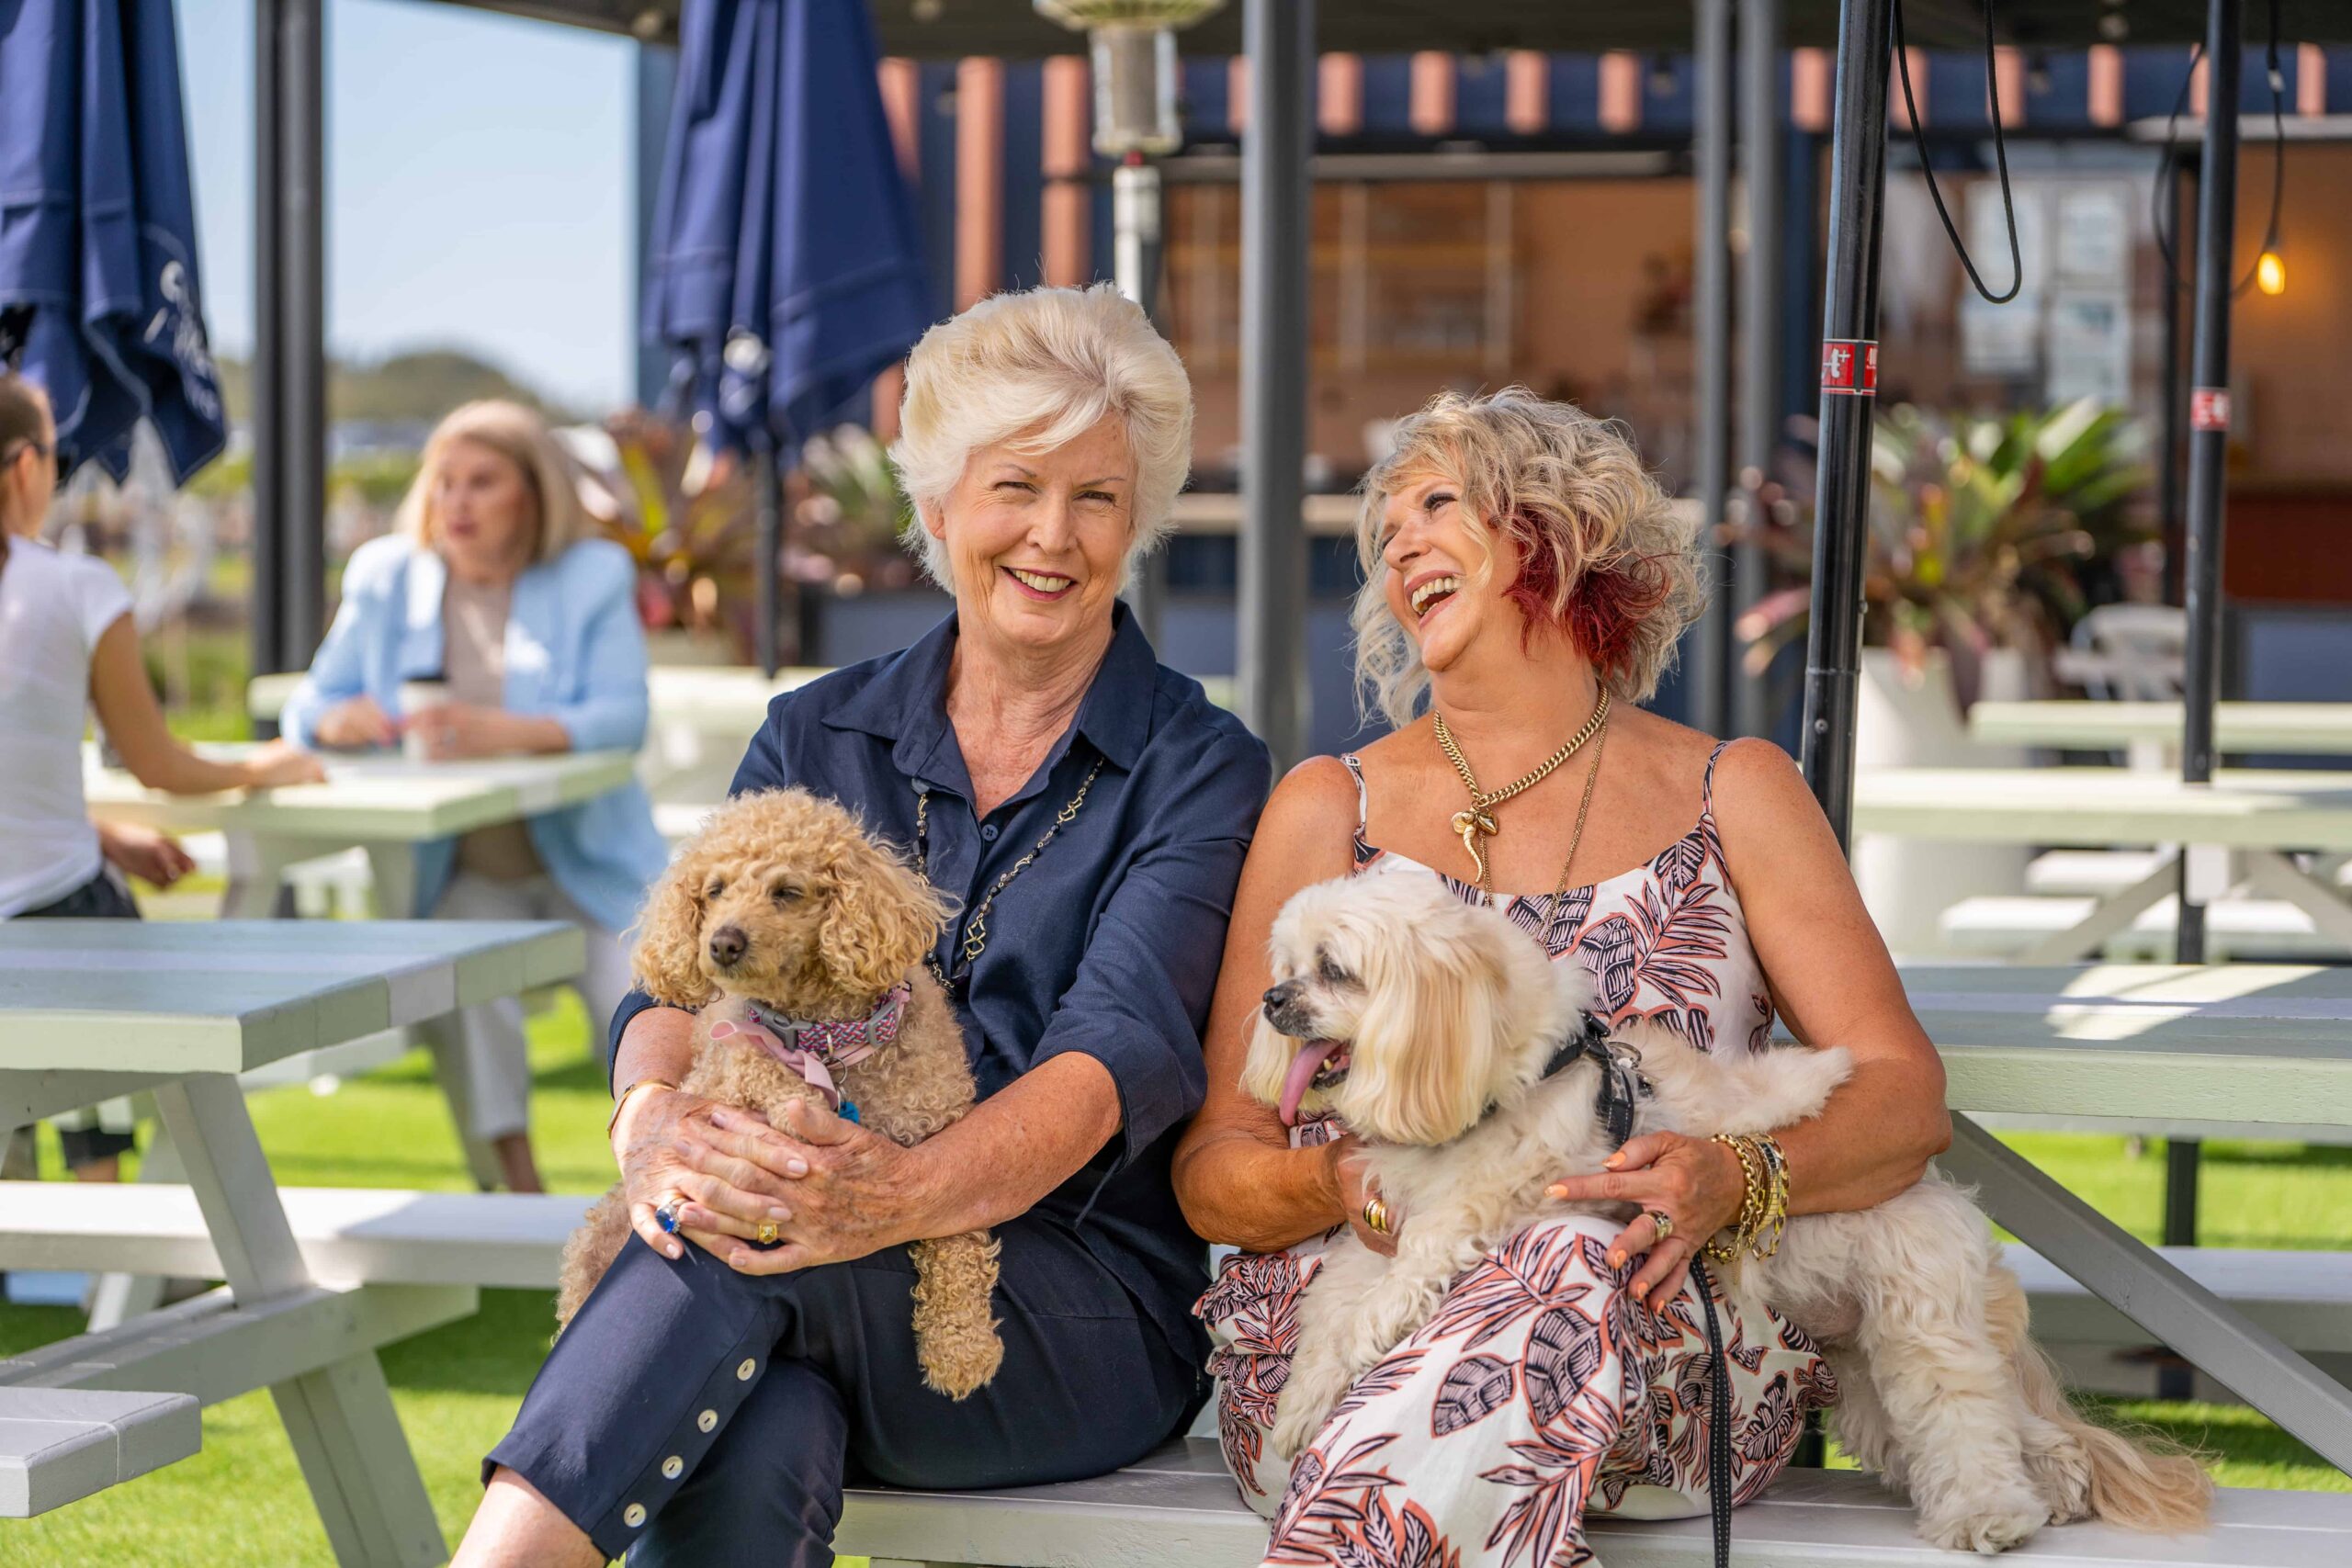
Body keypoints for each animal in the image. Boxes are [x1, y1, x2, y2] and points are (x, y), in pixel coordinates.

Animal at [1250, 879, 2201, 1551]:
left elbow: (1373, 1312)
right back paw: (2056, 1487)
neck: (1510, 1063)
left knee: (1966, 1416)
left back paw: (1990, 1516)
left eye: (1334, 968)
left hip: (1921, 1322)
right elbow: (1333, 1308)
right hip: (1867, 1375)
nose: (1270, 999)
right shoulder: (1383, 1232)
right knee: (2010, 1428)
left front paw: (1311, 1405)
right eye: (1284, 962)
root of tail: (1935, 1184)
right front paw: (1296, 1406)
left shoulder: (1461, 1222)